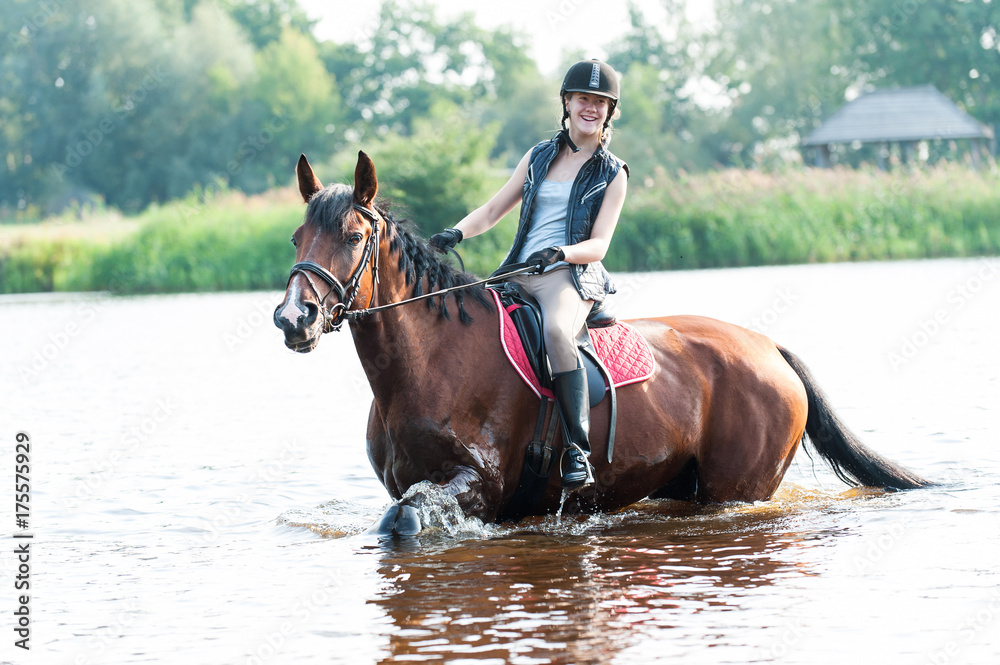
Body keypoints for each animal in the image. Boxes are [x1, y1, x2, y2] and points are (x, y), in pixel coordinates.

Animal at [272, 152, 928, 536]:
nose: (293, 318)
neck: (430, 361)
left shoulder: (477, 485)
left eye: (353, 236)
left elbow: (402, 523)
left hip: (737, 491)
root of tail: (770, 347)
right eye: (297, 236)